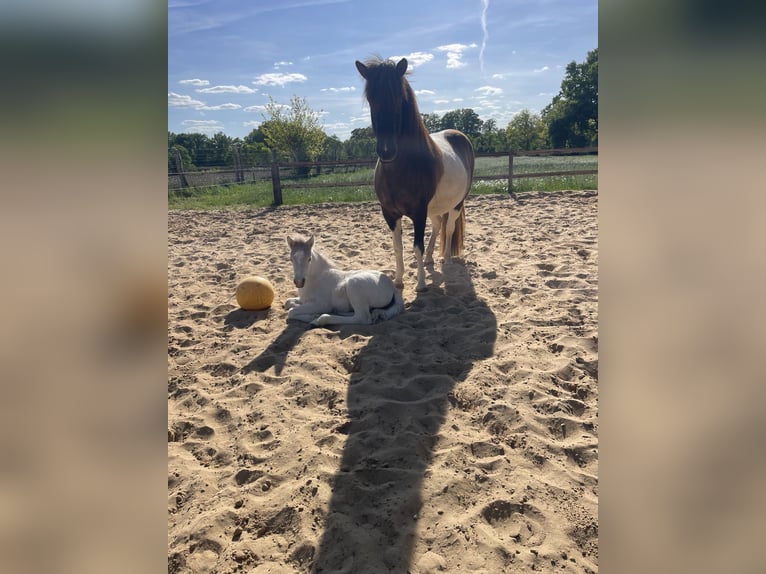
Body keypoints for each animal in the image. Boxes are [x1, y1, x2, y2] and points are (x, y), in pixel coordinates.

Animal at [355, 56, 475, 291]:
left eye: (399, 98)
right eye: (371, 99)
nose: (387, 151)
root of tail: (459, 135)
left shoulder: (419, 212)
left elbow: (416, 245)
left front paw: (420, 284)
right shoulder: (390, 213)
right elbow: (398, 246)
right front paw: (398, 280)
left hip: (456, 204)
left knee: (448, 228)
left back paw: (446, 259)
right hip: (435, 207)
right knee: (437, 226)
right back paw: (430, 258)